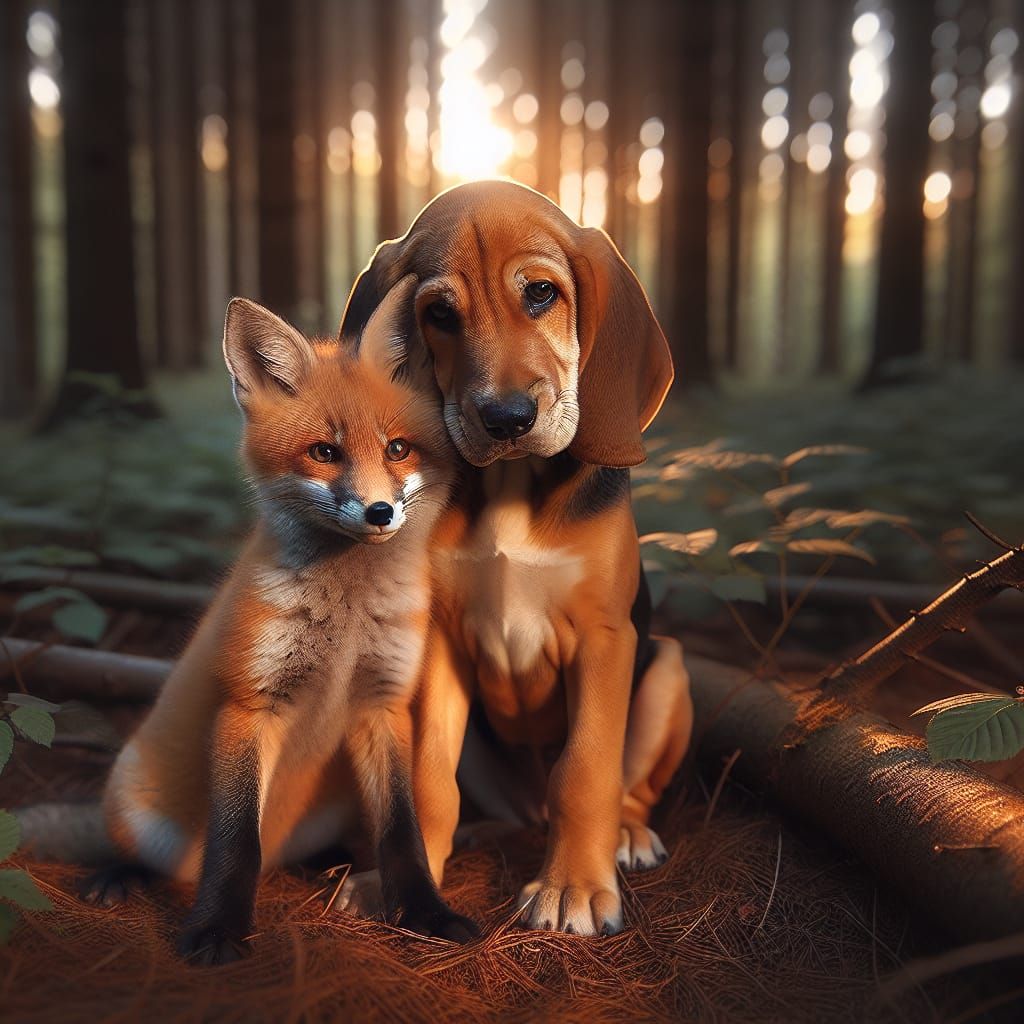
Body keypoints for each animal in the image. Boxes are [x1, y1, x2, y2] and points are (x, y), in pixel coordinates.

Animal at [17, 275, 478, 964]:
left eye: (398, 448)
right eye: (324, 452)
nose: (380, 512)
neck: (344, 624)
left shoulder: (383, 702)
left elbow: (403, 832)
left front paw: (425, 913)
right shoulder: (248, 702)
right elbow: (235, 842)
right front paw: (216, 931)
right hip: (139, 808)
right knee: (160, 857)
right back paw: (117, 876)